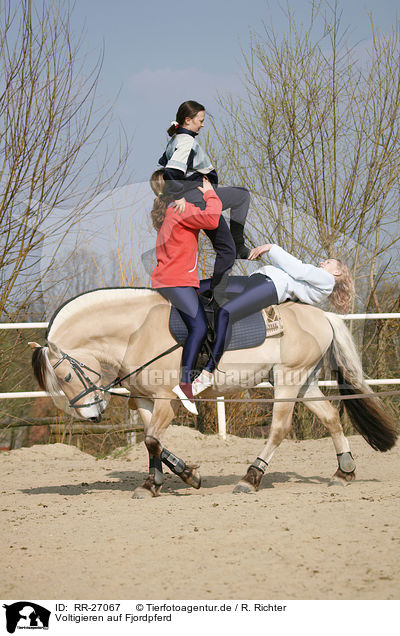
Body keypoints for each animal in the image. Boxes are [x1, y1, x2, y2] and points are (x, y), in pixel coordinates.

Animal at [29, 286, 398, 500]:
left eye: (64, 375)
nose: (92, 414)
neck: (137, 330)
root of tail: (322, 315)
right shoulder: (146, 400)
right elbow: (153, 442)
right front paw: (179, 476)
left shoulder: (166, 400)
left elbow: (151, 440)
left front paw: (159, 482)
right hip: (303, 382)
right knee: (331, 417)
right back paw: (343, 472)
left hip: (288, 380)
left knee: (279, 429)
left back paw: (251, 477)